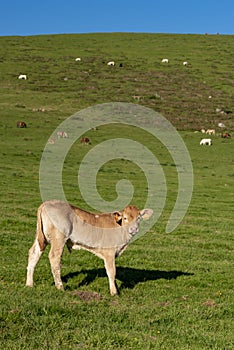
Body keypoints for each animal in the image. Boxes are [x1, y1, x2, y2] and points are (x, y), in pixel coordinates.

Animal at [26, 200, 154, 296]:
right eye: (125, 218)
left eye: (138, 218)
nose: (134, 229)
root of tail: (47, 203)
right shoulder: (109, 252)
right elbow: (112, 271)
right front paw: (114, 292)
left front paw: (116, 288)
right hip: (59, 238)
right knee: (54, 258)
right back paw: (60, 287)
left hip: (41, 237)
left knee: (34, 253)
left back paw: (29, 284)